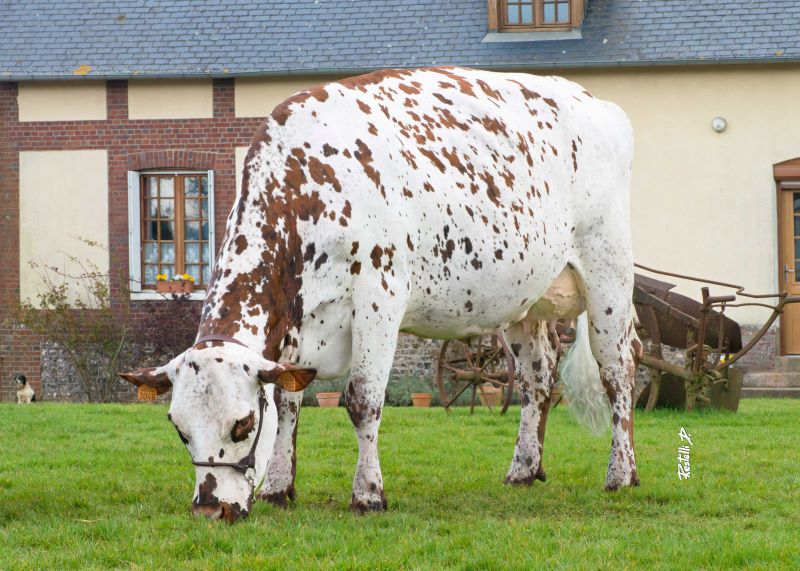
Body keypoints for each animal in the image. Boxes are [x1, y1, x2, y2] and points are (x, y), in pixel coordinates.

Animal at [120, 66, 644, 524]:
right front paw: (278, 487)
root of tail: (594, 101)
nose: (211, 510)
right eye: (179, 429)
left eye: (243, 424)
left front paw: (368, 493)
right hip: (525, 299)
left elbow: (363, 399)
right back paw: (524, 469)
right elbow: (290, 400)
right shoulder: (294, 330)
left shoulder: (379, 297)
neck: (308, 190)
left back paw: (621, 474)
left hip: (608, 273)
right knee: (538, 376)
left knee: (619, 372)